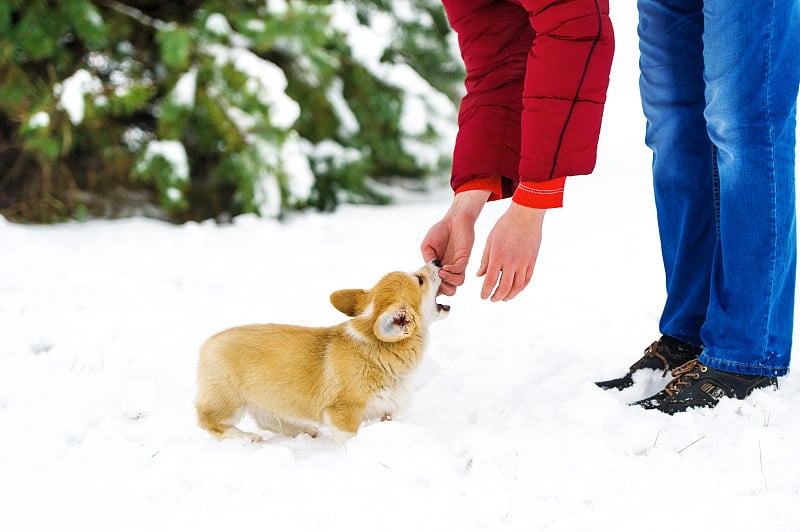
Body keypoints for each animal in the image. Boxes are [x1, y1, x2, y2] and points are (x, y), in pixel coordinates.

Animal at [195, 260, 450, 442]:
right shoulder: (343, 412)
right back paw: (247, 438)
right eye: (419, 279)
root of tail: (207, 343)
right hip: (229, 401)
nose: (437, 261)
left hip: (266, 397)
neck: (379, 350)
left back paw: (302, 431)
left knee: (266, 419)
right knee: (209, 422)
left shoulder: (386, 410)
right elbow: (349, 437)